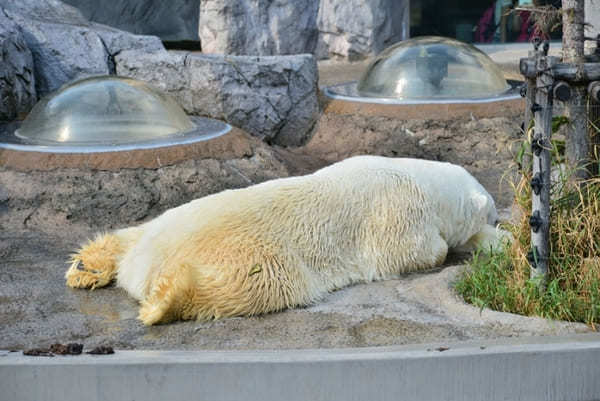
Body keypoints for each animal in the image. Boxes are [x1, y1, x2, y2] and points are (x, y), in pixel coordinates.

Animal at [63, 155, 504, 324]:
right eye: (492, 213)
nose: (501, 220)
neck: (422, 179)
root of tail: (143, 265)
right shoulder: (398, 212)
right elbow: (416, 252)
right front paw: (451, 247)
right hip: (258, 254)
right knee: (256, 285)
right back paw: (164, 302)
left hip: (167, 219)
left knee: (128, 233)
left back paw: (86, 266)